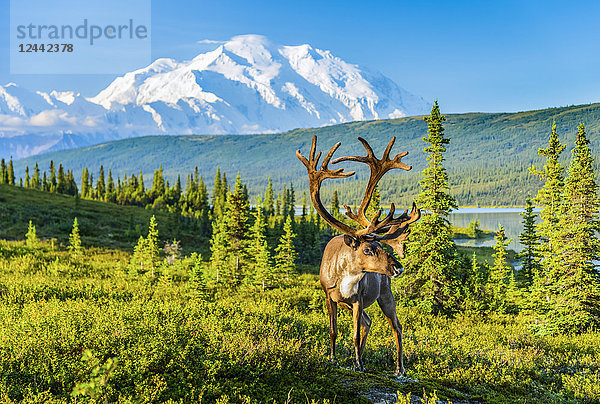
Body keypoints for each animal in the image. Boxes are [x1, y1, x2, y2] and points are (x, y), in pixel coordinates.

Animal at [296, 135, 420, 376]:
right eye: (368, 249)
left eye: (380, 245)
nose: (398, 267)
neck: (345, 276)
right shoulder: (330, 297)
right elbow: (333, 330)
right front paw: (334, 358)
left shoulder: (358, 300)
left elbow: (353, 334)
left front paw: (358, 363)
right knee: (369, 322)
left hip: (385, 295)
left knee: (396, 326)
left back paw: (398, 368)